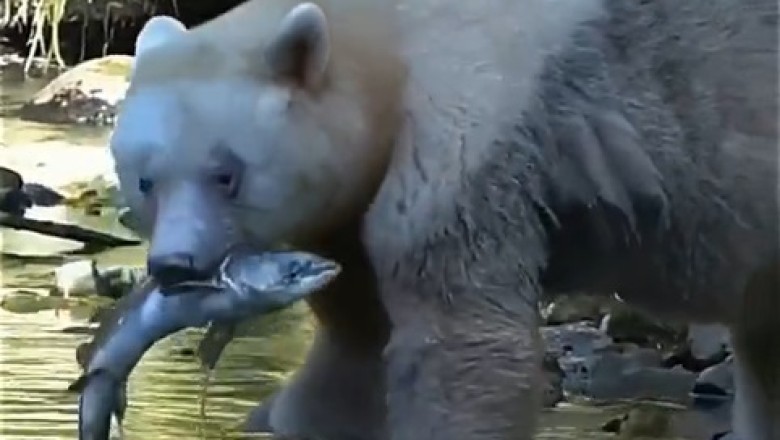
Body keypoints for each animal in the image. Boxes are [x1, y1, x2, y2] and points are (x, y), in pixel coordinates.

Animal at [109, 0, 779, 439]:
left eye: (227, 173)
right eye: (145, 179)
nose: (174, 266)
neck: (384, 37)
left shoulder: (463, 139)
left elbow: (462, 341)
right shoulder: (349, 214)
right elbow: (356, 335)